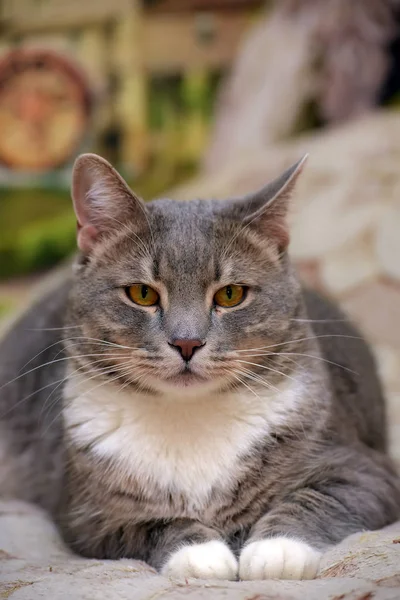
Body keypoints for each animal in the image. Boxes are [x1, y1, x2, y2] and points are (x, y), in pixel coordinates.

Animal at [0, 152, 400, 580]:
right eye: (142, 294)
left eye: (231, 294)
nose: (187, 342)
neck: (189, 418)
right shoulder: (86, 513)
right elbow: (146, 524)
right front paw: (201, 554)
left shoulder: (367, 471)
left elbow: (321, 498)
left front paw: (276, 551)